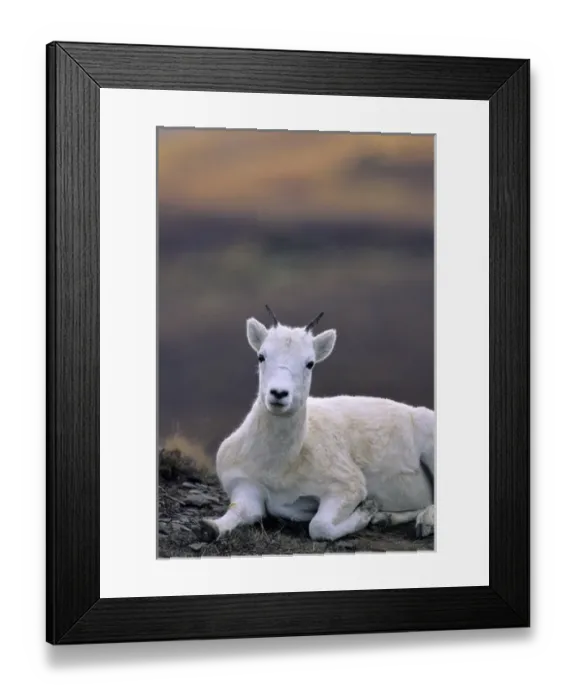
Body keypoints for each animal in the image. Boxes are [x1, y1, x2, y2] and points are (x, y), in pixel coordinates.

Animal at [199, 306, 435, 544]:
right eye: (261, 356)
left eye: (309, 363)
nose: (278, 394)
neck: (278, 467)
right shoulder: (246, 487)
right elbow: (234, 516)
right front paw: (210, 527)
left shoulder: (347, 487)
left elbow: (319, 527)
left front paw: (367, 509)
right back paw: (386, 518)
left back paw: (423, 523)